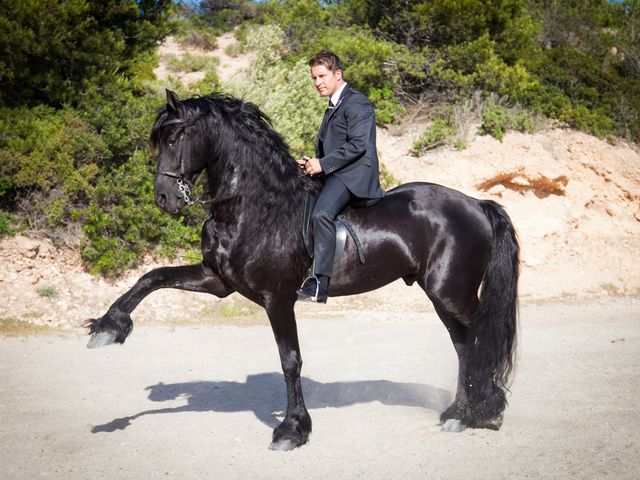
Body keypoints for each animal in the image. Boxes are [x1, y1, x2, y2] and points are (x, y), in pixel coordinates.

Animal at [87, 89, 520, 450]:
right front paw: (109, 327)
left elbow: (290, 360)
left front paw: (292, 429)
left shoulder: (277, 298)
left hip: (452, 293)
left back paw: (486, 411)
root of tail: (475, 203)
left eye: (175, 138)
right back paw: (460, 414)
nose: (164, 198)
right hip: (442, 296)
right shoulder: (218, 281)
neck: (253, 206)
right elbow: (152, 277)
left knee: (481, 340)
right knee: (464, 345)